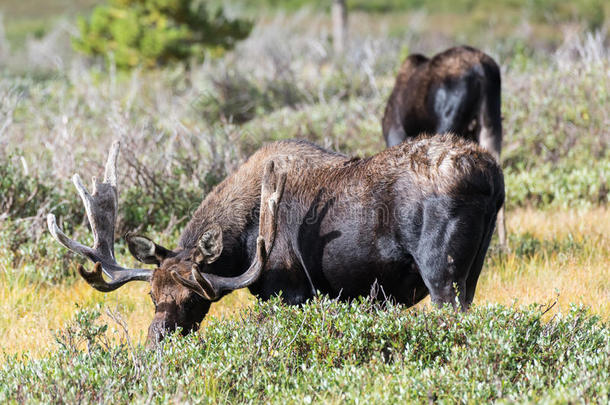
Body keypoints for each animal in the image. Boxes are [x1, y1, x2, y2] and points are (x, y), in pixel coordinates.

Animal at [48, 137, 504, 344]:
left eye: (194, 298)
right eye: (151, 295)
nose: (156, 339)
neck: (244, 245)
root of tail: (492, 175)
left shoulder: (290, 293)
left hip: (441, 272)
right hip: (474, 269)